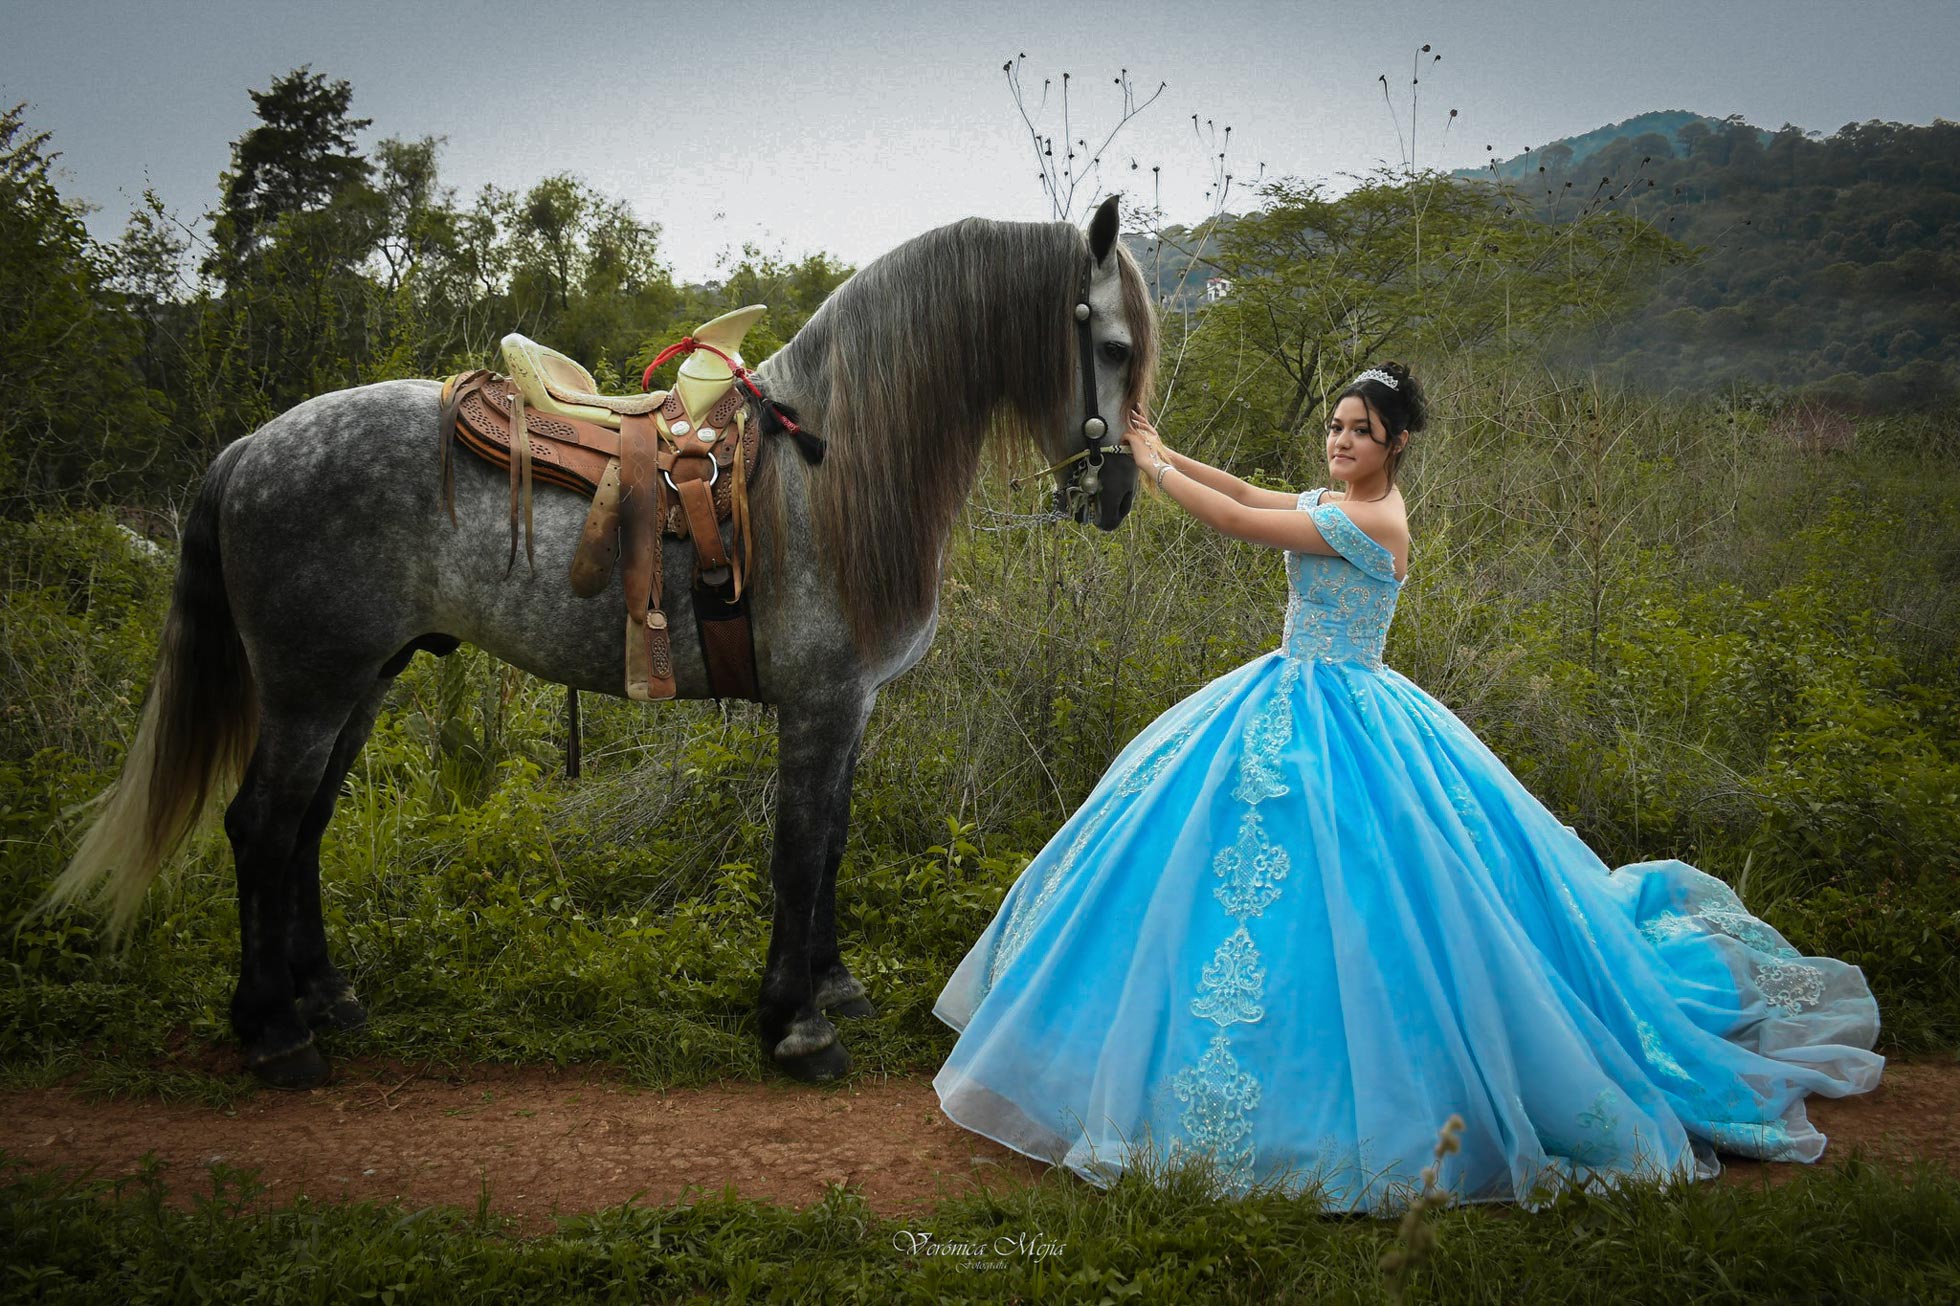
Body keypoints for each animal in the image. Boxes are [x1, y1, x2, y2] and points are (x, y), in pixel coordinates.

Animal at [53, 193, 1152, 1082]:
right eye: (1111, 347)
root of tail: (252, 446)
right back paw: (276, 1033)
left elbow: (831, 840)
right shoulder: (822, 701)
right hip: (308, 689)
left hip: (358, 683)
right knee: (260, 828)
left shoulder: (850, 706)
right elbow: (800, 849)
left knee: (304, 828)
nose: (1117, 498)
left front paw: (831, 985)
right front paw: (794, 1025)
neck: (825, 466)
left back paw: (323, 997)